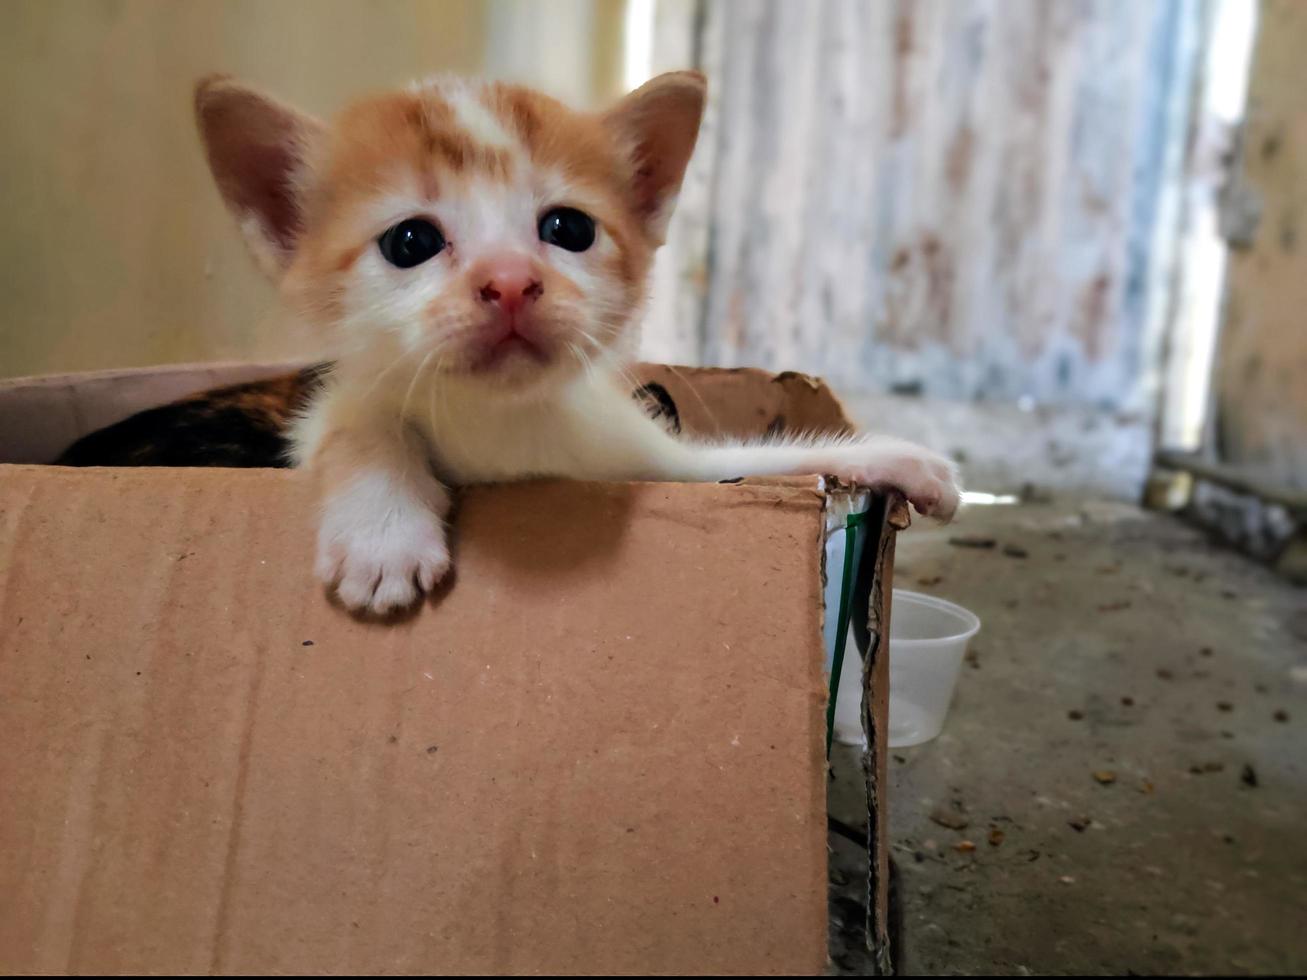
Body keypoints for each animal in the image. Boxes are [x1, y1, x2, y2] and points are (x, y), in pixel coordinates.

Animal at [196, 72, 961, 616]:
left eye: (568, 229)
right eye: (409, 241)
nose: (509, 282)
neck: (504, 424)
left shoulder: (650, 463)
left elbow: (750, 462)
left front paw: (900, 461)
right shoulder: (327, 404)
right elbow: (354, 419)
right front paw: (383, 533)